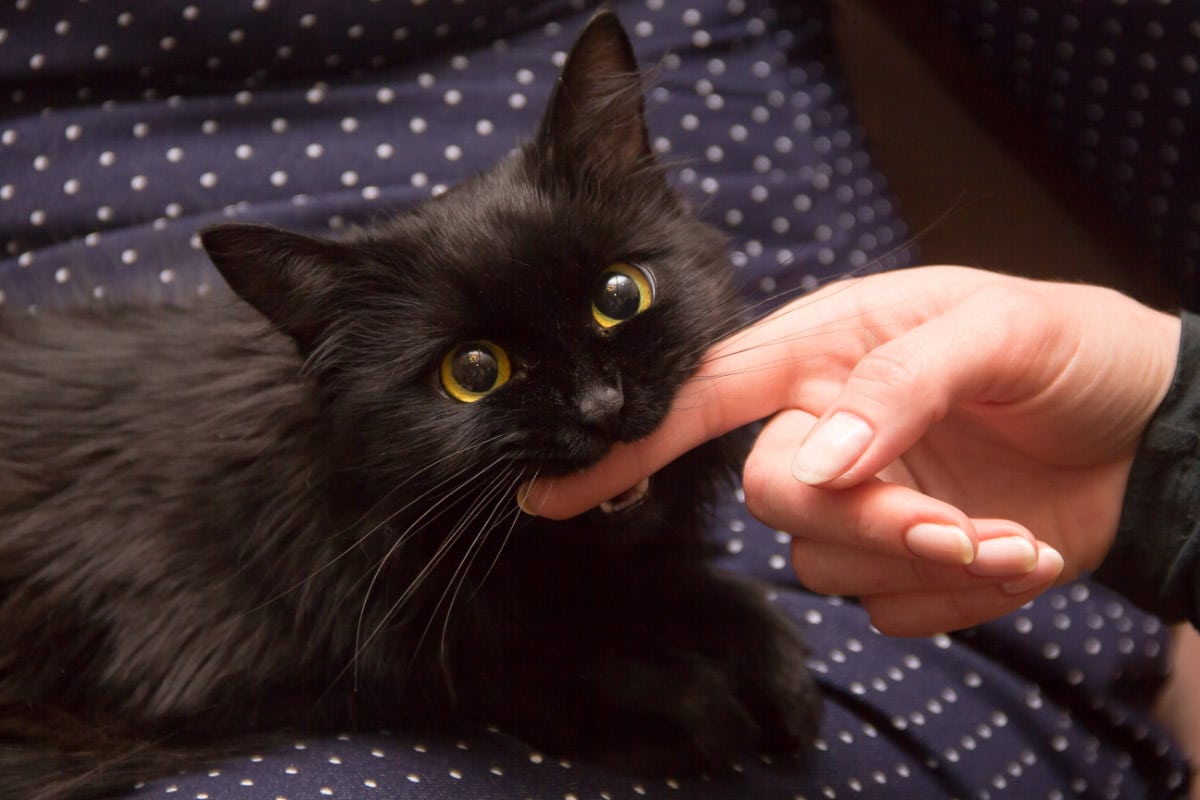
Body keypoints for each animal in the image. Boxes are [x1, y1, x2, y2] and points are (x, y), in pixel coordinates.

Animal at [0, 12, 816, 800]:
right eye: (474, 371)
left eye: (619, 295)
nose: (600, 404)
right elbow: (552, 672)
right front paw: (702, 710)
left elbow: (713, 596)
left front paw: (781, 677)